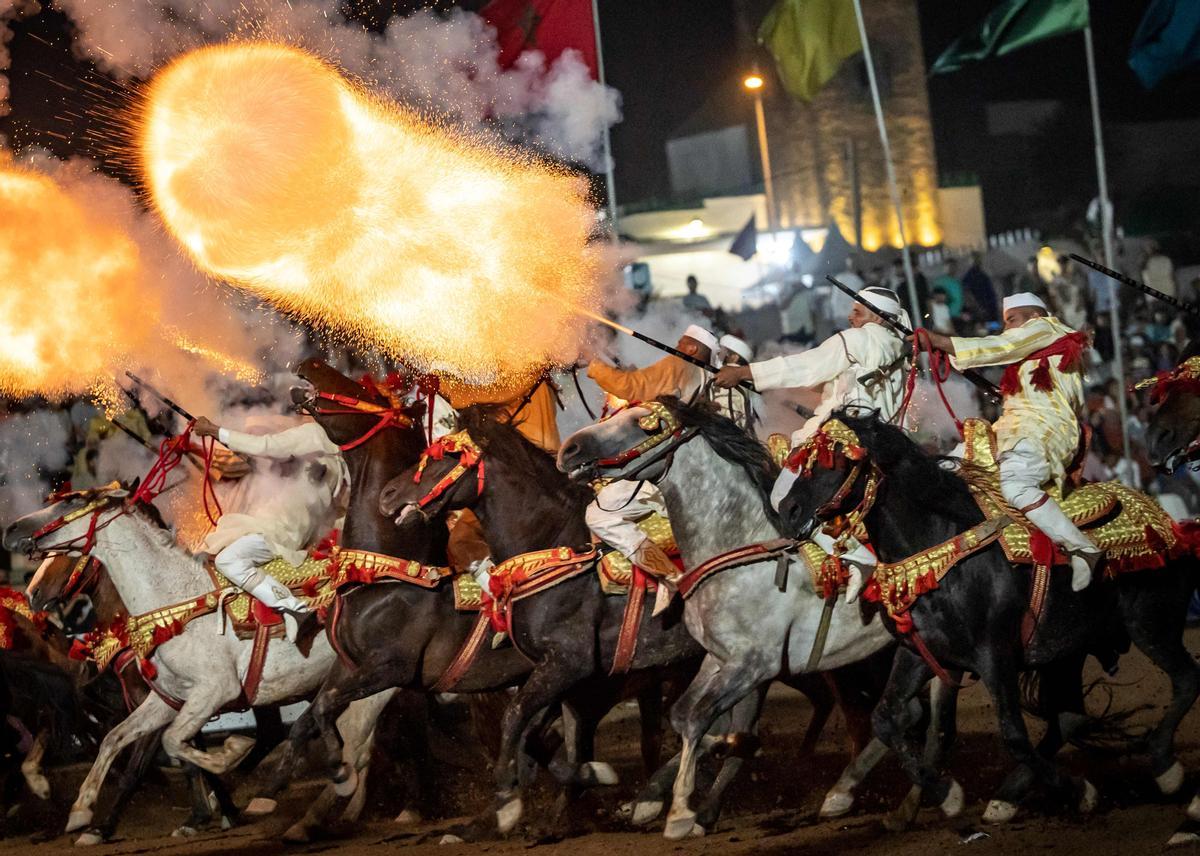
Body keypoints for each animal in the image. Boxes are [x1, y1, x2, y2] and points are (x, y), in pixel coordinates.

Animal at [561, 398, 964, 835]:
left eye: (644, 423)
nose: (570, 448)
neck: (739, 548)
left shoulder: (755, 665)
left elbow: (699, 720)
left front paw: (682, 812)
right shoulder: (719, 658)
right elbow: (685, 715)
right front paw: (681, 791)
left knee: (934, 724)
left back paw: (926, 799)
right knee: (908, 714)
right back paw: (851, 795)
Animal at [772, 410, 1195, 825]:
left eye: (834, 459)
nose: (787, 511)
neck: (939, 553)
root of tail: (1172, 524)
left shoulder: (996, 655)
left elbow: (1013, 735)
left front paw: (1079, 790)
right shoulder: (920, 654)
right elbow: (886, 718)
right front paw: (947, 794)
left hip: (1152, 624)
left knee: (1186, 679)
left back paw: (1167, 769)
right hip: (1071, 650)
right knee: (1070, 716)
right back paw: (1008, 797)